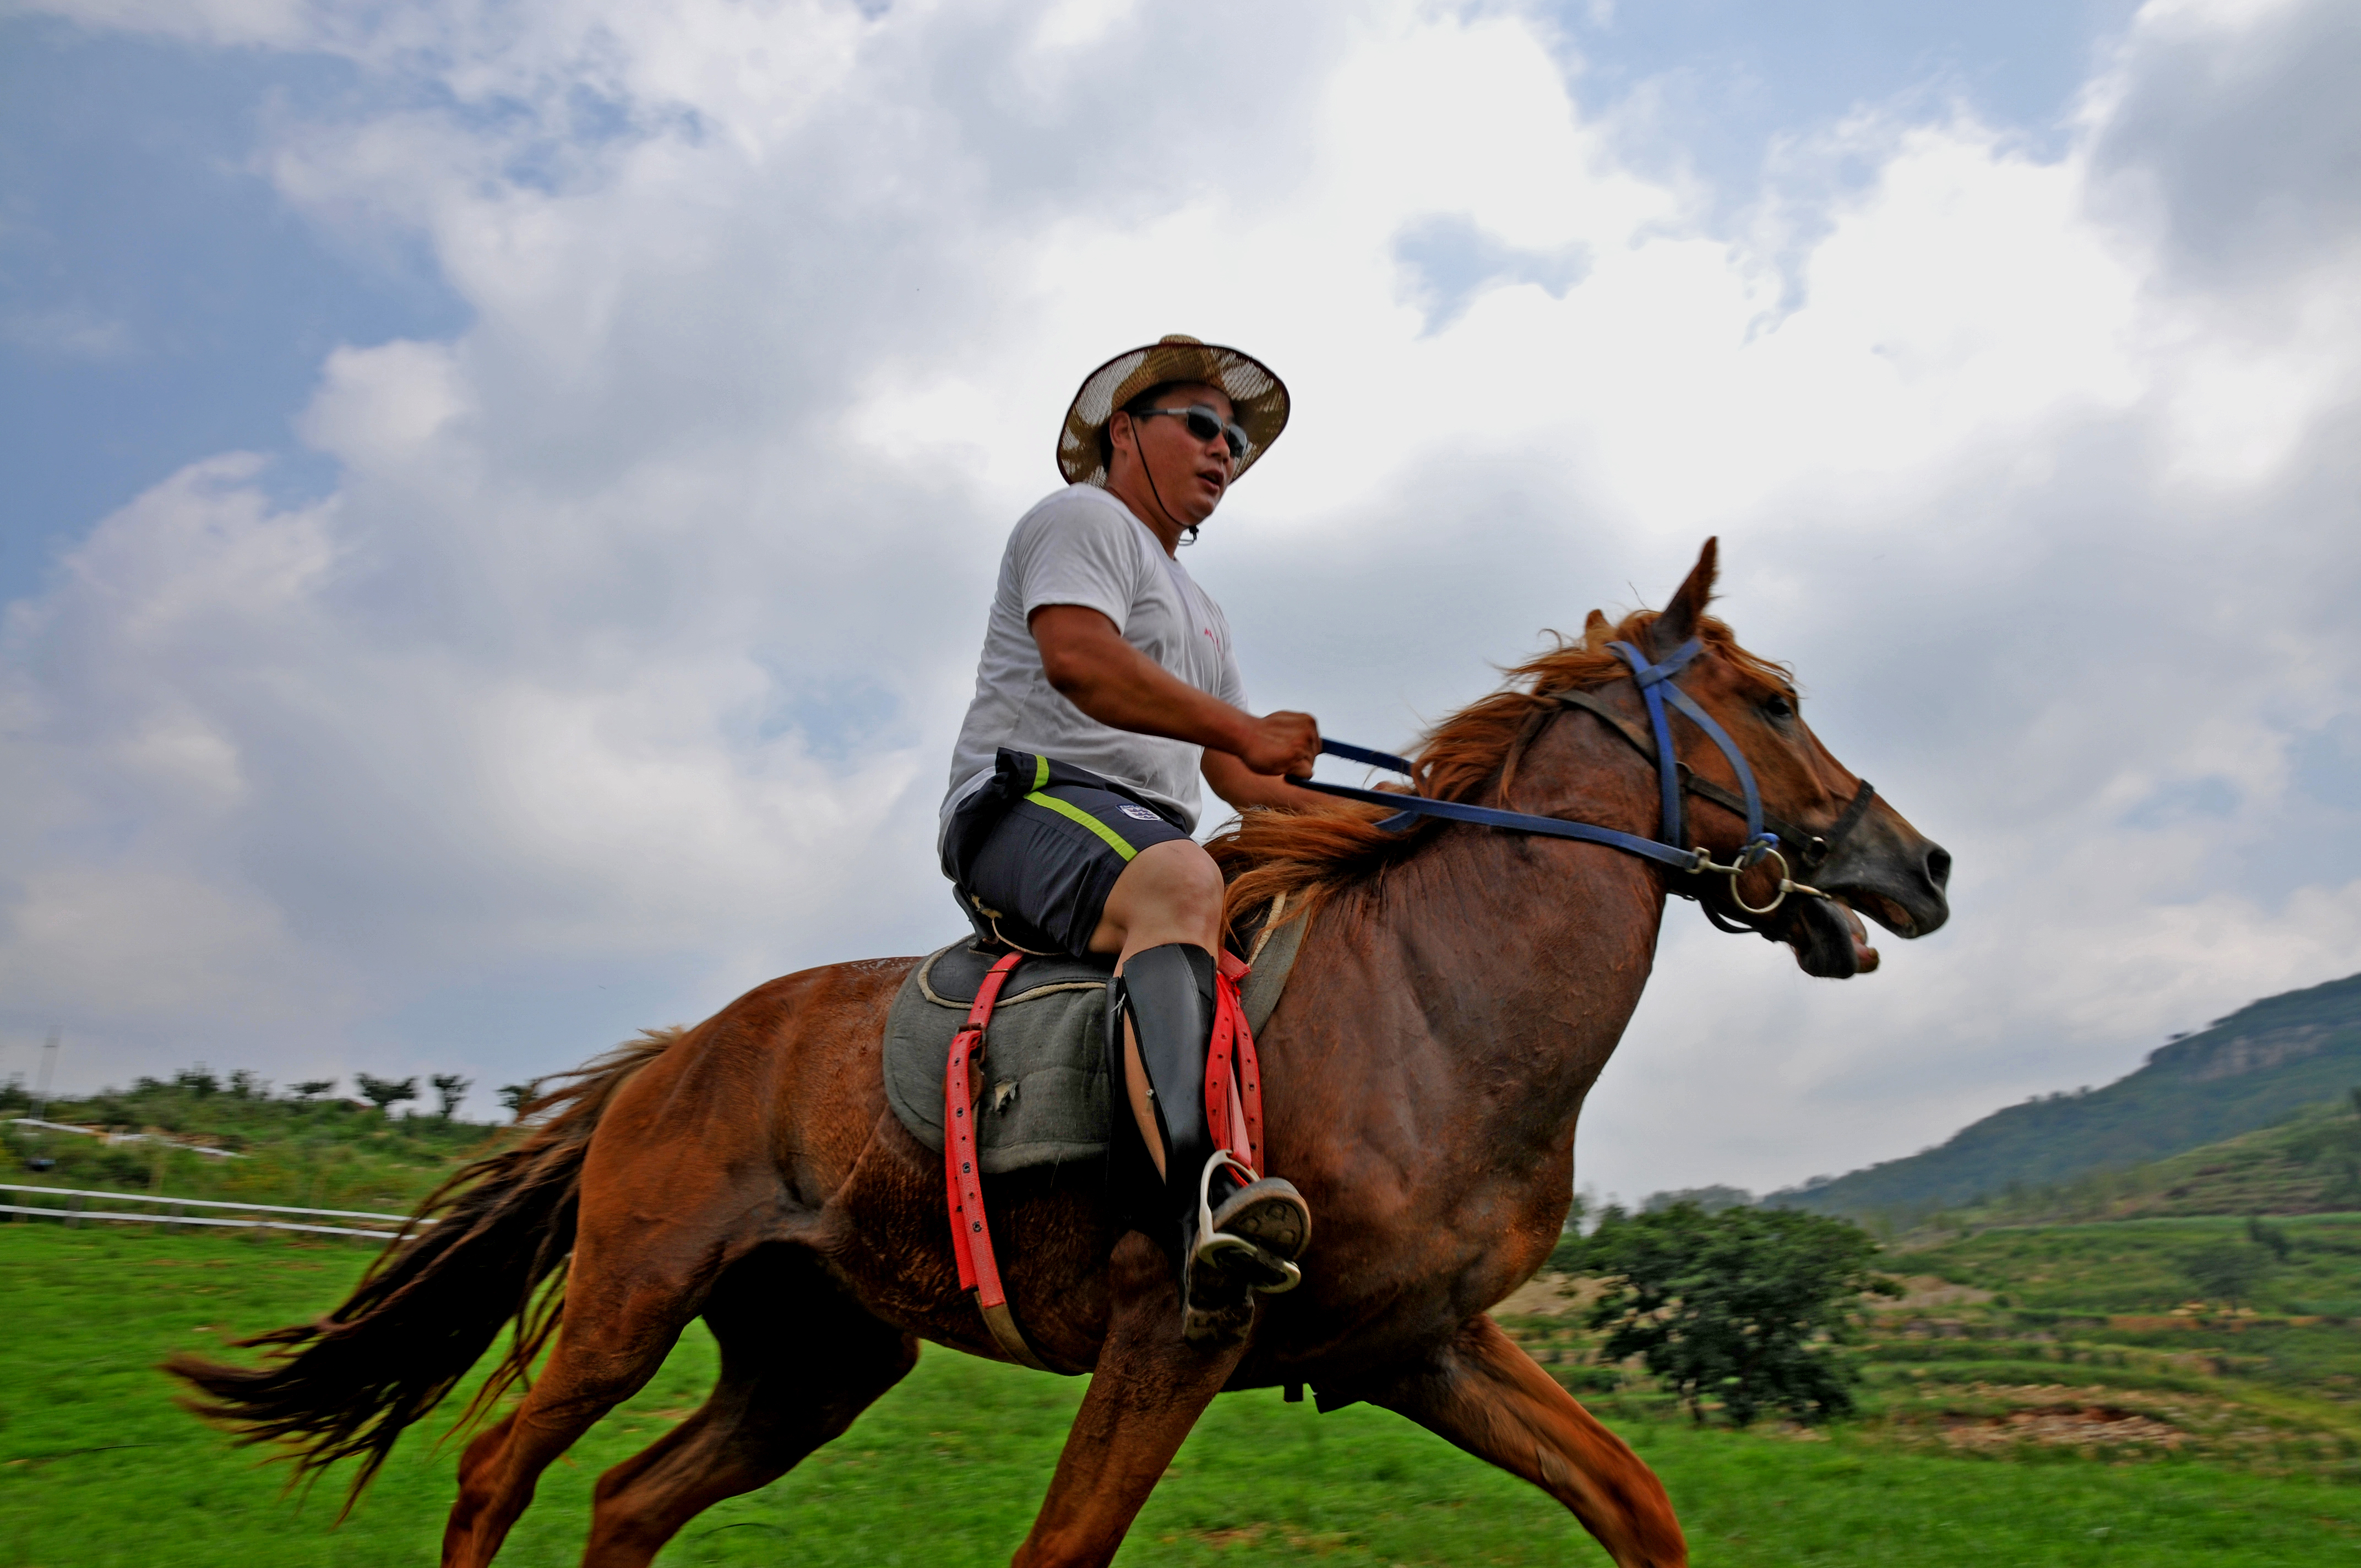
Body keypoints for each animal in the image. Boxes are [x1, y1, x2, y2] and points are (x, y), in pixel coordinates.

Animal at [171, 543, 1955, 1567]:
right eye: (1775, 695)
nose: (1923, 861)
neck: (1433, 1008)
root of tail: (680, 1051)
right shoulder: (1178, 1330)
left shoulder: (1420, 1345)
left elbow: (1636, 1505)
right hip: (631, 1299)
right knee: (495, 1470)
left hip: (817, 1355)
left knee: (627, 1500)